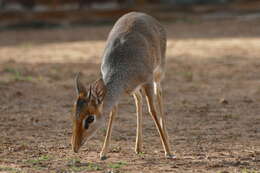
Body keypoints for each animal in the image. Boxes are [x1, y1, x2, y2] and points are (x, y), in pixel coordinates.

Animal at [70, 11, 175, 159]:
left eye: (90, 118)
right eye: (75, 114)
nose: (75, 147)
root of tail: (147, 16)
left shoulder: (147, 81)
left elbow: (152, 110)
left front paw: (169, 152)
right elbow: (113, 112)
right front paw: (103, 153)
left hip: (158, 73)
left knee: (159, 93)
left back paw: (166, 143)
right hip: (134, 89)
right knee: (139, 100)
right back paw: (138, 147)